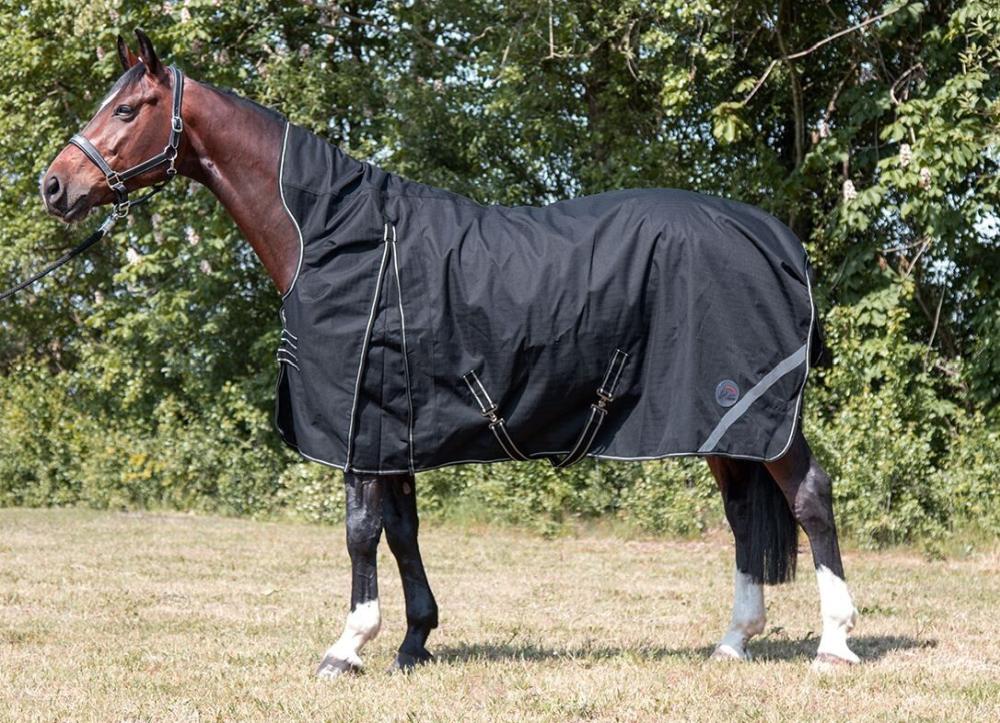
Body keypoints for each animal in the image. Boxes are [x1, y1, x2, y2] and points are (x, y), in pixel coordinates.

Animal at [40, 30, 859, 676]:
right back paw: (732, 641)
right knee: (743, 514)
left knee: (810, 497)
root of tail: (775, 238)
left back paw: (835, 643)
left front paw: (348, 646)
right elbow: (402, 532)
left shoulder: (359, 428)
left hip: (755, 412)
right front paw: (413, 642)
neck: (332, 232)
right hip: (723, 423)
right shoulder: (391, 428)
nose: (54, 186)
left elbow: (360, 533)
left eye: (125, 110)